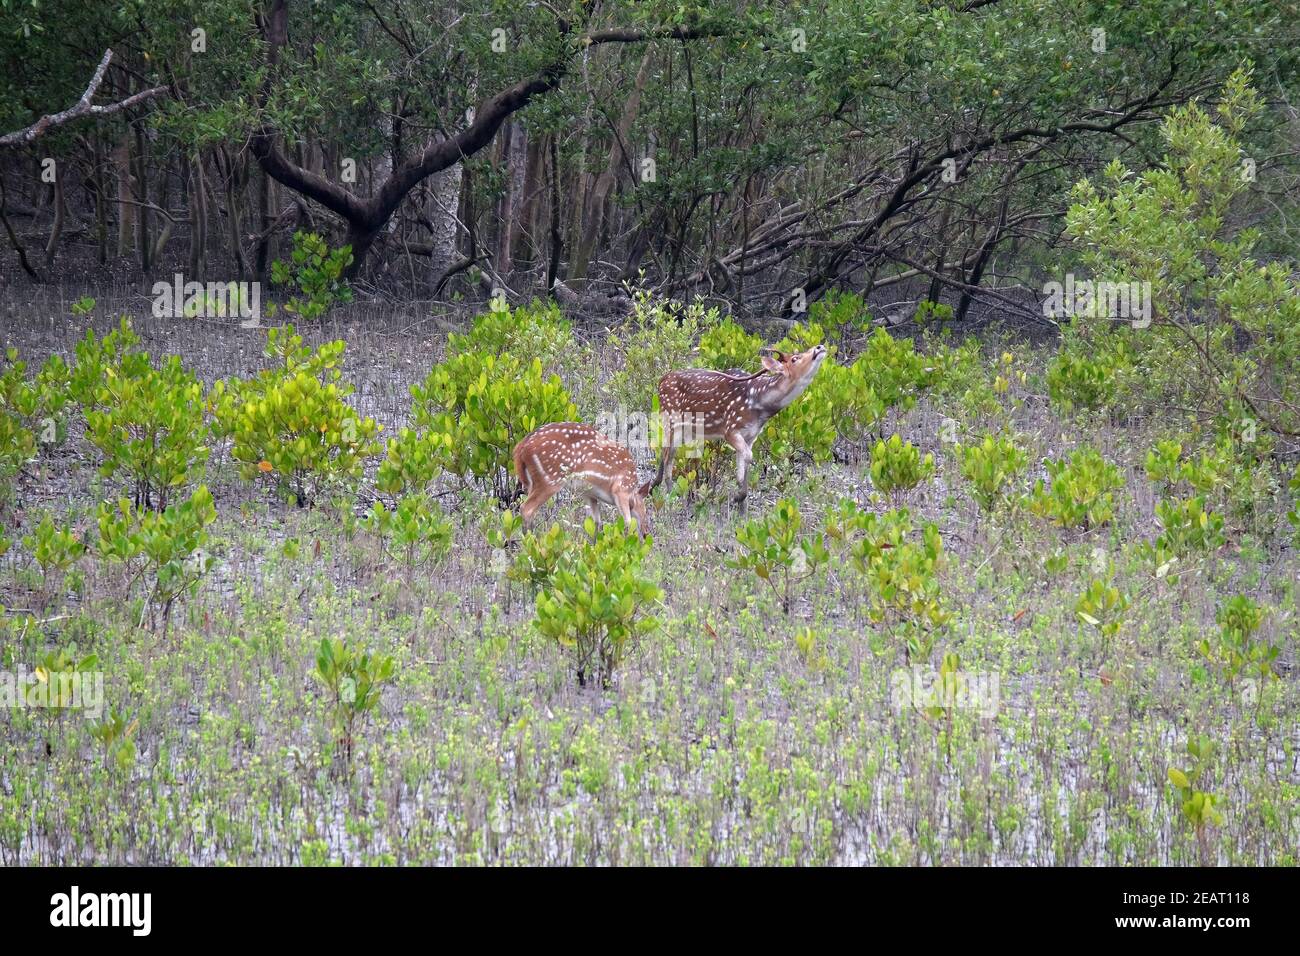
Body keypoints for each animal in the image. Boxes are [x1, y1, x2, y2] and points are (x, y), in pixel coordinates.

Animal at [509, 426, 647, 538]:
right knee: (526, 508)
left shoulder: (589, 494)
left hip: (530, 483)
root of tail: (520, 448)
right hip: (550, 479)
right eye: (644, 510)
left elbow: (596, 522)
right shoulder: (621, 490)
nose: (646, 533)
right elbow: (628, 522)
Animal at [650, 343, 832, 512]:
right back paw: (671, 499)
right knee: (668, 457)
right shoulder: (730, 429)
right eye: (795, 358)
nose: (820, 346)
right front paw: (737, 498)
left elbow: (741, 469)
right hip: (671, 418)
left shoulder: (751, 436)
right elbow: (749, 457)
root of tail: (661, 380)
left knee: (666, 454)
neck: (760, 406)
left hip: (687, 428)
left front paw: (742, 512)